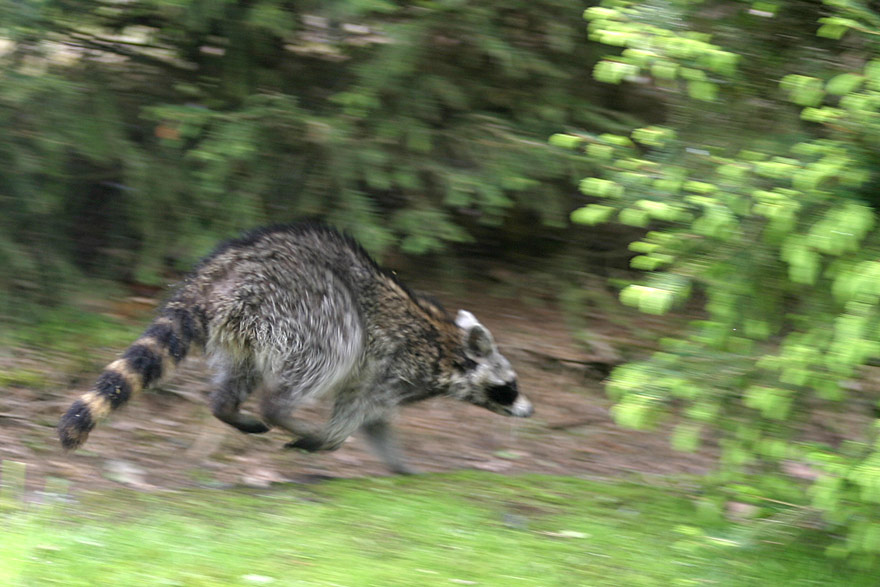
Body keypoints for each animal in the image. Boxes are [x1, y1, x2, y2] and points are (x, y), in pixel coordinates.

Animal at [60, 223, 536, 476]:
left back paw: (229, 409)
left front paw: (400, 466)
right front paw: (329, 440)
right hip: (300, 309)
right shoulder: (395, 365)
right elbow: (358, 409)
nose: (530, 411)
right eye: (509, 386)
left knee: (238, 377)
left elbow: (377, 423)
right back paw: (282, 413)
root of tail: (219, 273)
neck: (448, 346)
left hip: (243, 330)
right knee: (336, 345)